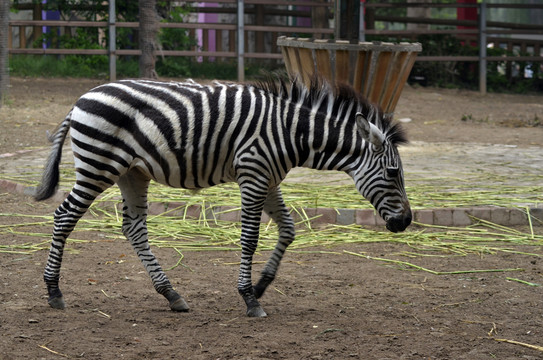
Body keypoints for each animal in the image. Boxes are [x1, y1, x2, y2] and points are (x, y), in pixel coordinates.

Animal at [34, 74, 412, 316]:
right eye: (393, 173)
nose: (407, 221)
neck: (294, 133)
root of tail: (82, 98)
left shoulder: (269, 179)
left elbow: (289, 230)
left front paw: (261, 286)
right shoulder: (254, 175)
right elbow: (250, 238)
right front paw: (249, 298)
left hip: (132, 172)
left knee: (134, 228)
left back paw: (171, 294)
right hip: (98, 164)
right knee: (64, 216)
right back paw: (53, 291)